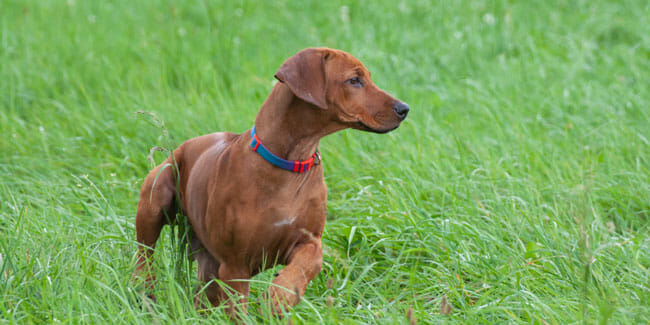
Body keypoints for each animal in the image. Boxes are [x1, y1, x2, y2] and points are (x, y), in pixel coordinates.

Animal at [134, 46, 408, 316]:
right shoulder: (235, 265)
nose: (404, 109)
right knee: (144, 256)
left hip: (207, 260)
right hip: (156, 193)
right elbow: (238, 311)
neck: (291, 164)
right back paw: (145, 296)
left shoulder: (309, 240)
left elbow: (307, 264)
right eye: (354, 80)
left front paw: (280, 296)